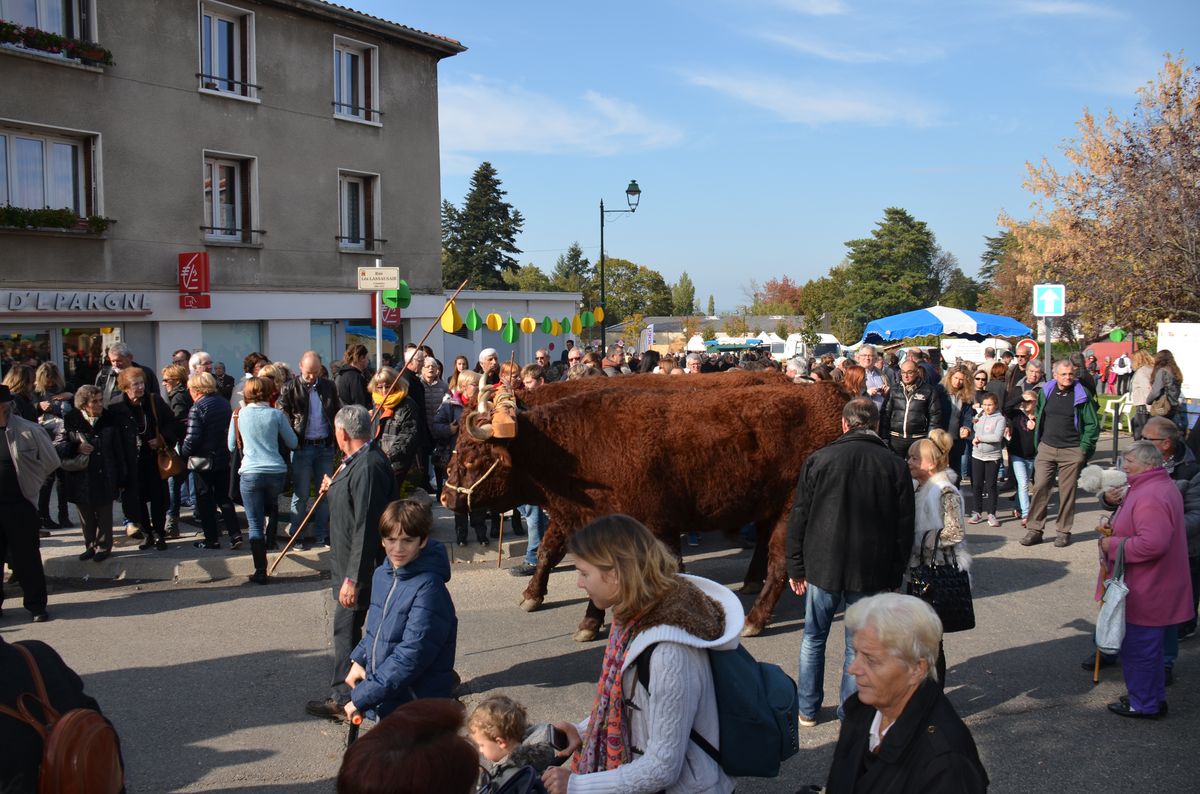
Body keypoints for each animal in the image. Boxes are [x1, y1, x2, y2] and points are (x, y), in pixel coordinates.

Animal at [439, 376, 844, 642]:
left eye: (473, 458)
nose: (444, 497)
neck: (571, 448)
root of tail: (828, 396)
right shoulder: (581, 522)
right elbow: (562, 560)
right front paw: (579, 617)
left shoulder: (652, 528)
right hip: (768, 508)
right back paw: (749, 585)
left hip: (790, 511)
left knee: (780, 564)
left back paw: (755, 619)